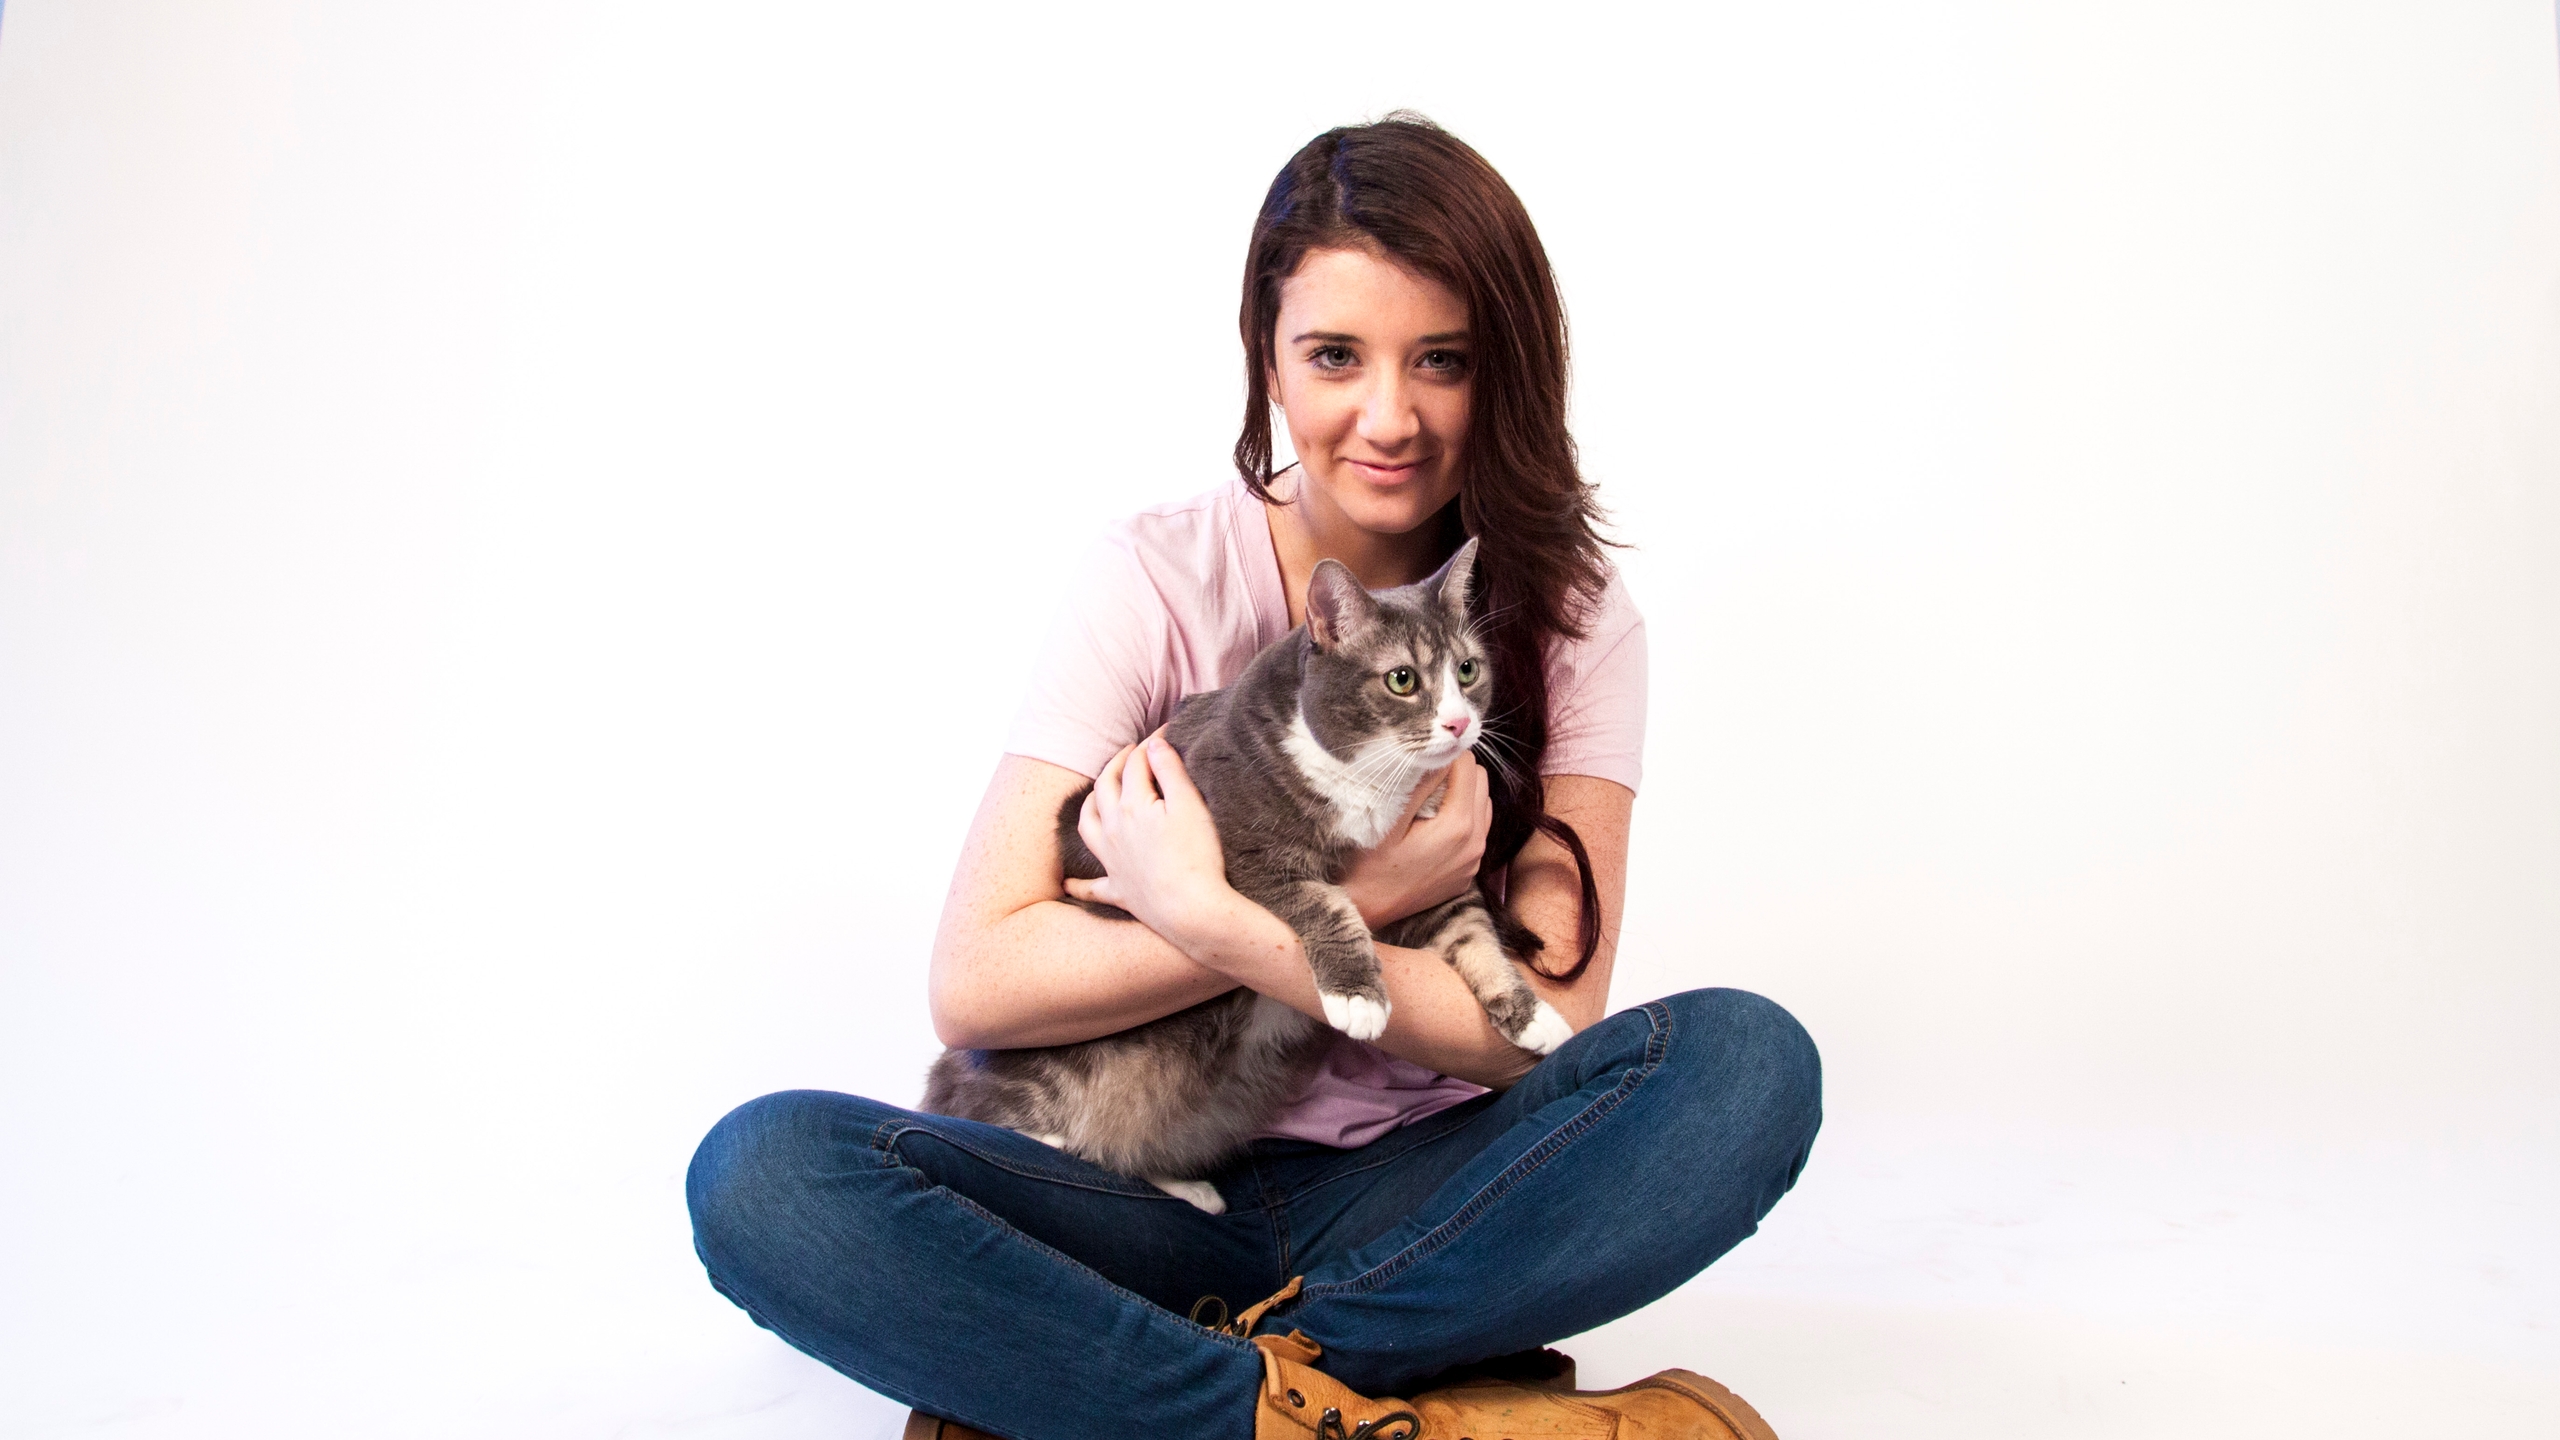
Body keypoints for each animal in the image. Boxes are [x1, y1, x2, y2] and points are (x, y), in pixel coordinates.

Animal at [911, 538, 1566, 1209]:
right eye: (1402, 679)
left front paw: (1533, 1015)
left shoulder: (1437, 879)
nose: (1460, 724)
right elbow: (1328, 903)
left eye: (1468, 670)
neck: (1372, 782)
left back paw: (1193, 1188)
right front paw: (1358, 996)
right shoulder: (1241, 853)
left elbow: (1473, 935)